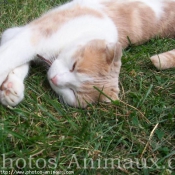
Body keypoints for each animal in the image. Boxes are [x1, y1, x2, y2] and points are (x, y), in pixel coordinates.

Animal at [0, 0, 175, 107]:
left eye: (73, 92)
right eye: (74, 65)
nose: (54, 79)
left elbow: (19, 61)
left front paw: (11, 88)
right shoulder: (27, 35)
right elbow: (10, 57)